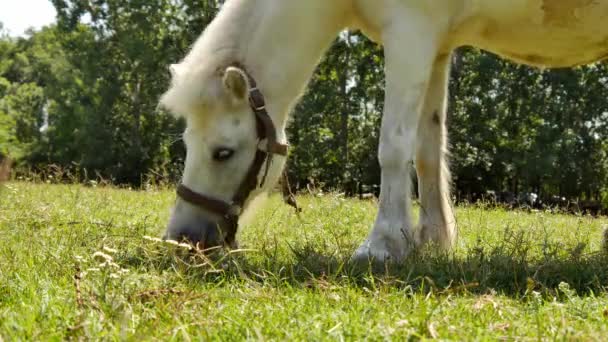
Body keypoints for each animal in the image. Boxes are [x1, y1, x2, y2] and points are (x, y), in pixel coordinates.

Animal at [162, 0, 608, 262]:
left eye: (223, 152)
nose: (182, 238)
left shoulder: (410, 34)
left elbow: (393, 146)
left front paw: (381, 246)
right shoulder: (436, 47)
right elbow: (428, 151)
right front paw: (433, 243)